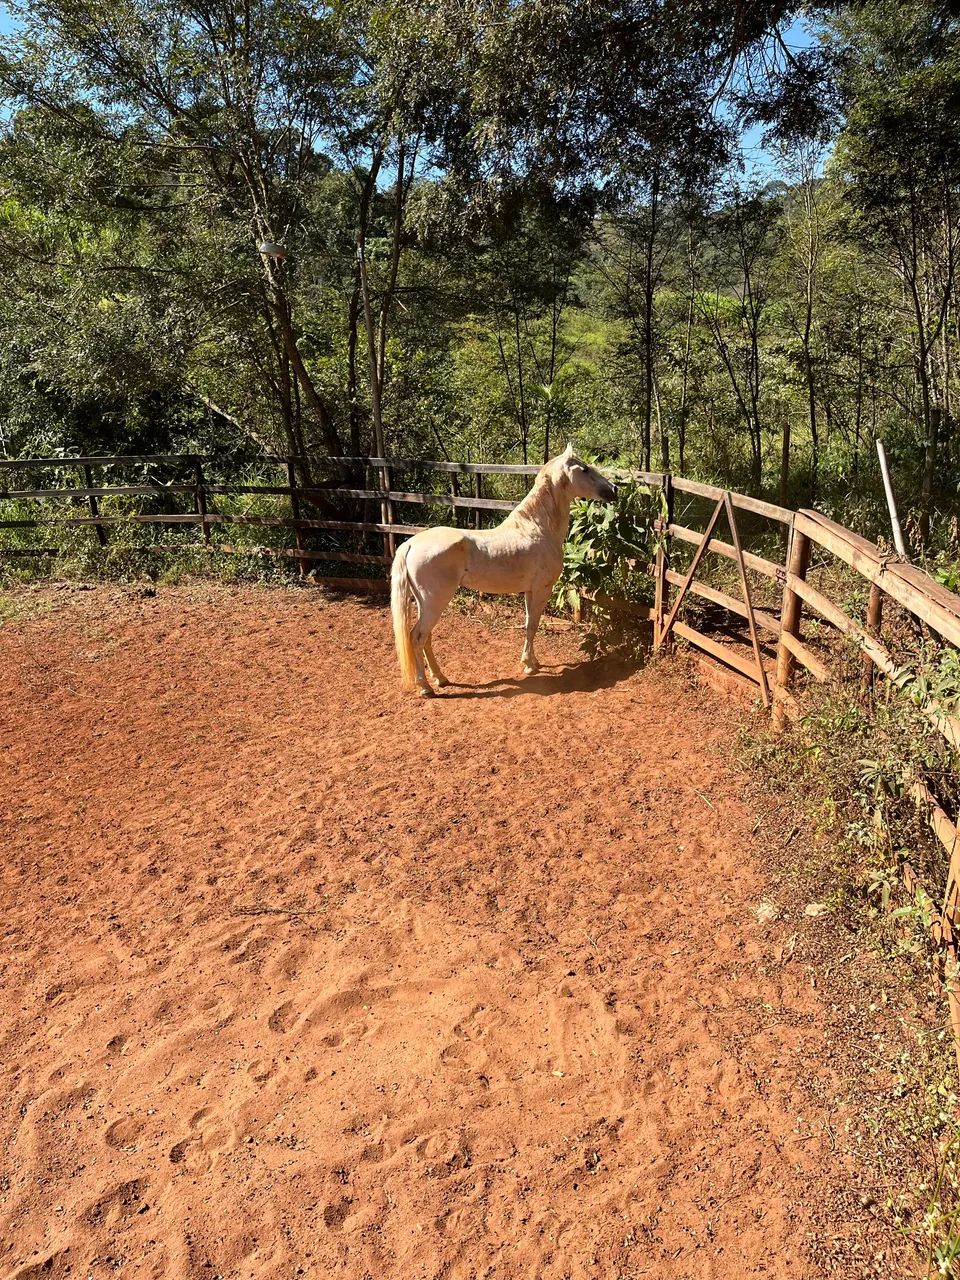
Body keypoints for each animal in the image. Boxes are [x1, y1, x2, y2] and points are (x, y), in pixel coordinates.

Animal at [390, 443, 618, 695]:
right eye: (585, 469)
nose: (614, 490)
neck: (537, 527)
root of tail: (411, 544)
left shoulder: (529, 591)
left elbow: (529, 624)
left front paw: (532, 661)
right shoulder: (542, 589)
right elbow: (533, 625)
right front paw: (530, 666)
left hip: (426, 603)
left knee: (425, 638)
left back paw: (441, 678)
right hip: (434, 601)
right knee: (417, 637)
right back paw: (425, 687)